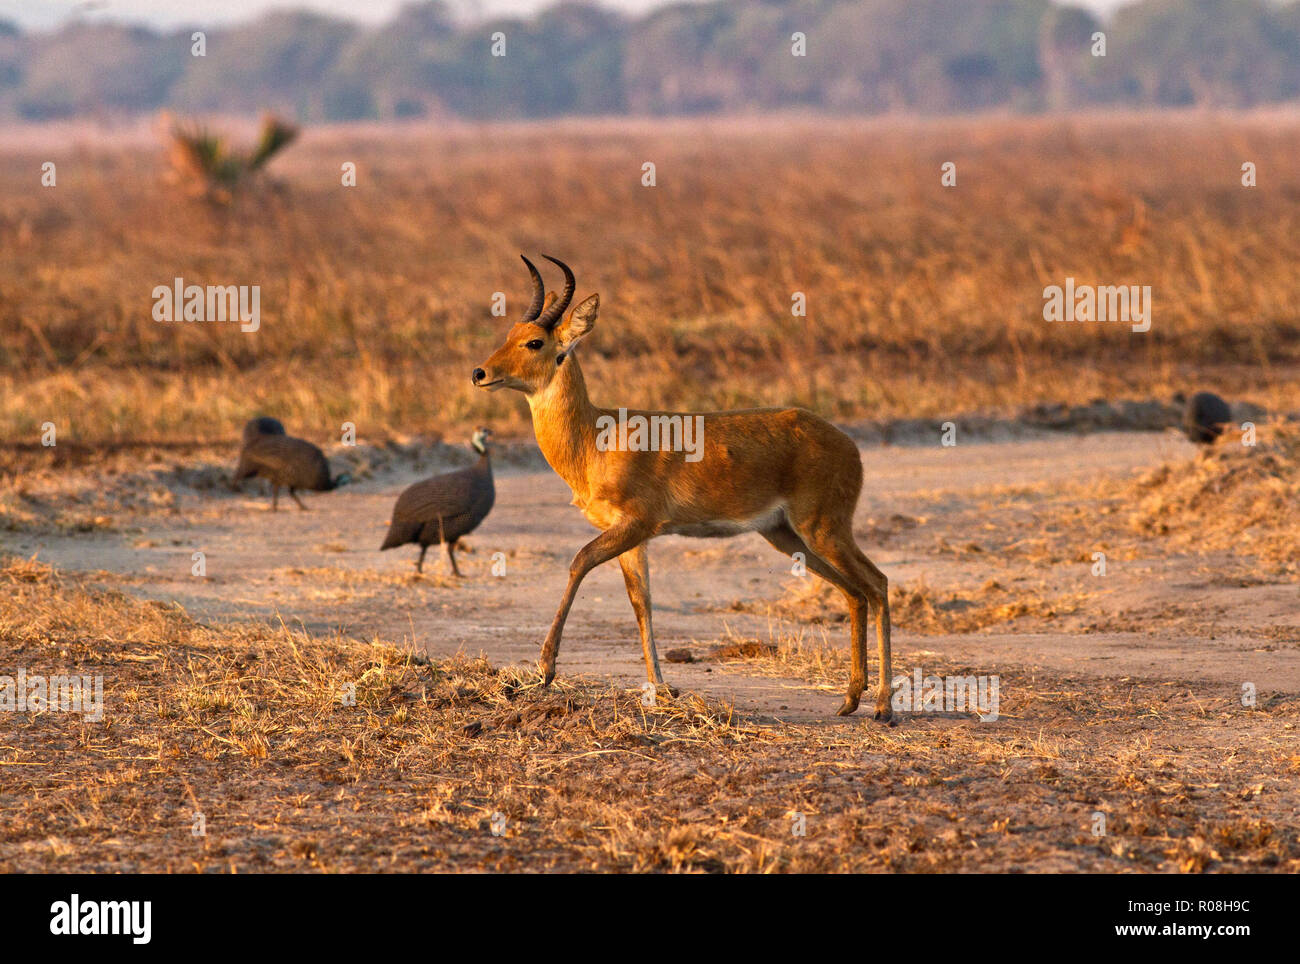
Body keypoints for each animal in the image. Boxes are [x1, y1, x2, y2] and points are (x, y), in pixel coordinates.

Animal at [478, 257, 894, 717]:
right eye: (509, 334)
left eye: (535, 342)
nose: (481, 373)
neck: (596, 438)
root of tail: (849, 444)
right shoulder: (633, 539)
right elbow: (641, 603)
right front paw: (661, 688)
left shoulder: (637, 524)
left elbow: (579, 562)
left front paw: (546, 669)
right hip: (787, 535)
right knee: (856, 593)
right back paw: (850, 699)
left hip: (822, 529)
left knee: (877, 584)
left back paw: (883, 706)